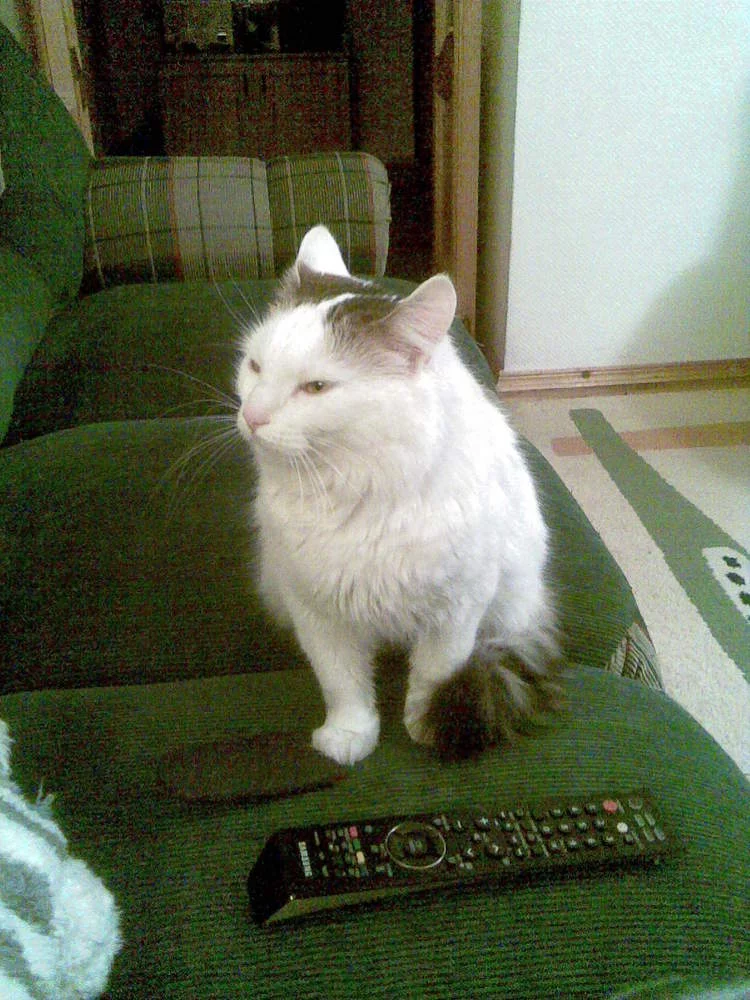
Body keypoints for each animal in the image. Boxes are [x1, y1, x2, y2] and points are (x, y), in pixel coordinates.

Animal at [235, 225, 561, 765]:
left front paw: (422, 728)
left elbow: (433, 677)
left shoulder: (456, 611)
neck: (356, 493)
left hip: (509, 608)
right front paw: (349, 738)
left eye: (317, 387)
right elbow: (343, 685)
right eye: (255, 367)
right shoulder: (317, 613)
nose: (252, 416)